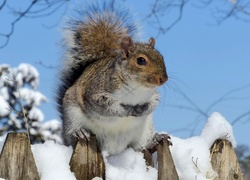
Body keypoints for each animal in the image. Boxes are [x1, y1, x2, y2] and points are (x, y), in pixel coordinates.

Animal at [56, 0, 169, 155]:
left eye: (161, 57)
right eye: (141, 61)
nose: (163, 79)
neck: (137, 86)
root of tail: (113, 149)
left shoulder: (152, 95)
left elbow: (154, 102)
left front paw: (141, 109)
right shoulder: (96, 91)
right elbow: (106, 106)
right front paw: (127, 110)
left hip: (145, 130)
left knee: (140, 147)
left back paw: (154, 141)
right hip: (72, 115)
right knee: (72, 138)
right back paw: (79, 133)